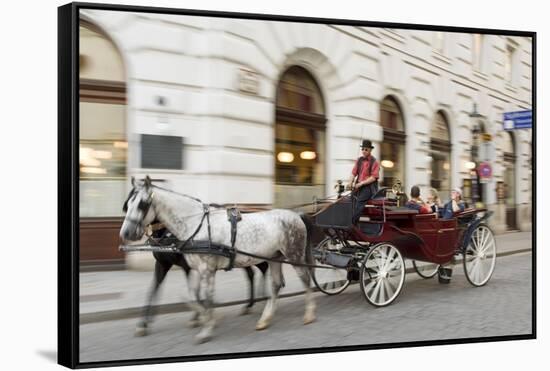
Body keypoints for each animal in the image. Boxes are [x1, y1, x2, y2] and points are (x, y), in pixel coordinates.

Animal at [121, 178, 320, 346]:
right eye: (128, 204)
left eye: (142, 204)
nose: (125, 233)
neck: (196, 225)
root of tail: (297, 215)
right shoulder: (195, 268)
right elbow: (192, 296)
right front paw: (207, 319)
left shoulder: (206, 269)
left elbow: (206, 298)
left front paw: (206, 329)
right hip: (275, 257)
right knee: (276, 284)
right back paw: (265, 319)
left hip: (294, 256)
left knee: (305, 279)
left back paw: (309, 314)